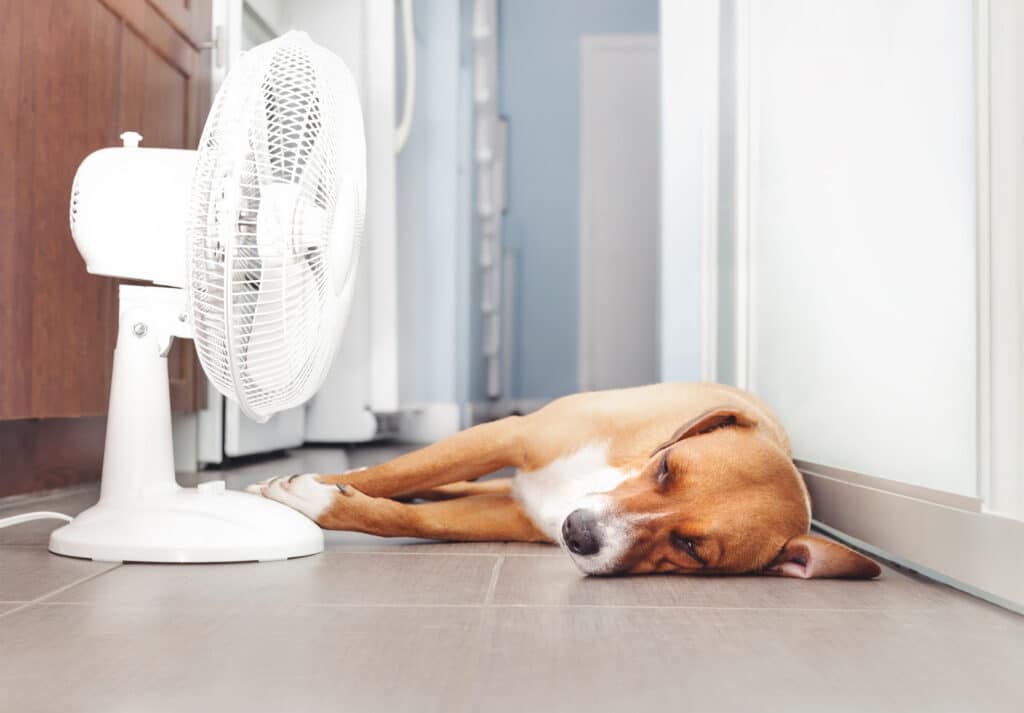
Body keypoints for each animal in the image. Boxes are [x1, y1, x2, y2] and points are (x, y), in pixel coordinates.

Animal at [247, 385, 880, 577]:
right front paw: (298, 487)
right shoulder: (506, 435)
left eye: (691, 548)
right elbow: (400, 469)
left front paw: (325, 499)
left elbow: (409, 514)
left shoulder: (508, 516)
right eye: (666, 468)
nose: (578, 534)